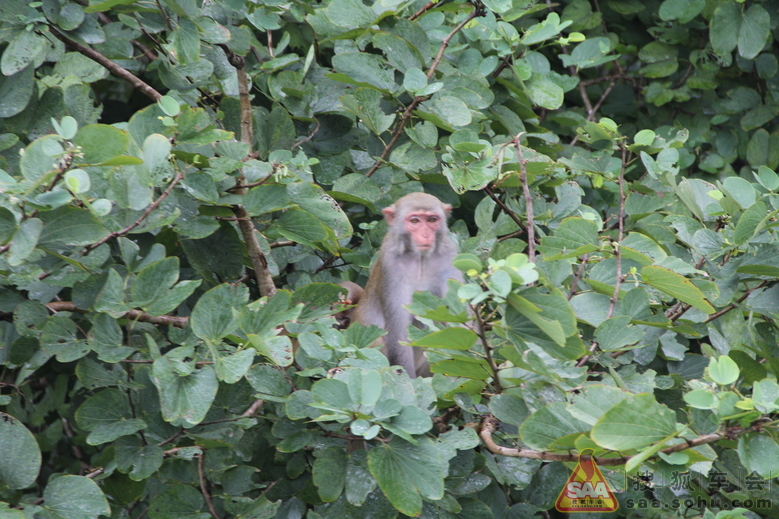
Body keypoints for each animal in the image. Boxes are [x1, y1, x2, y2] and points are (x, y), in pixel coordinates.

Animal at [354, 191, 464, 378]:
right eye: (414, 221)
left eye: (432, 220)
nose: (426, 235)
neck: (420, 258)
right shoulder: (390, 265)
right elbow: (399, 334)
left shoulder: (450, 256)